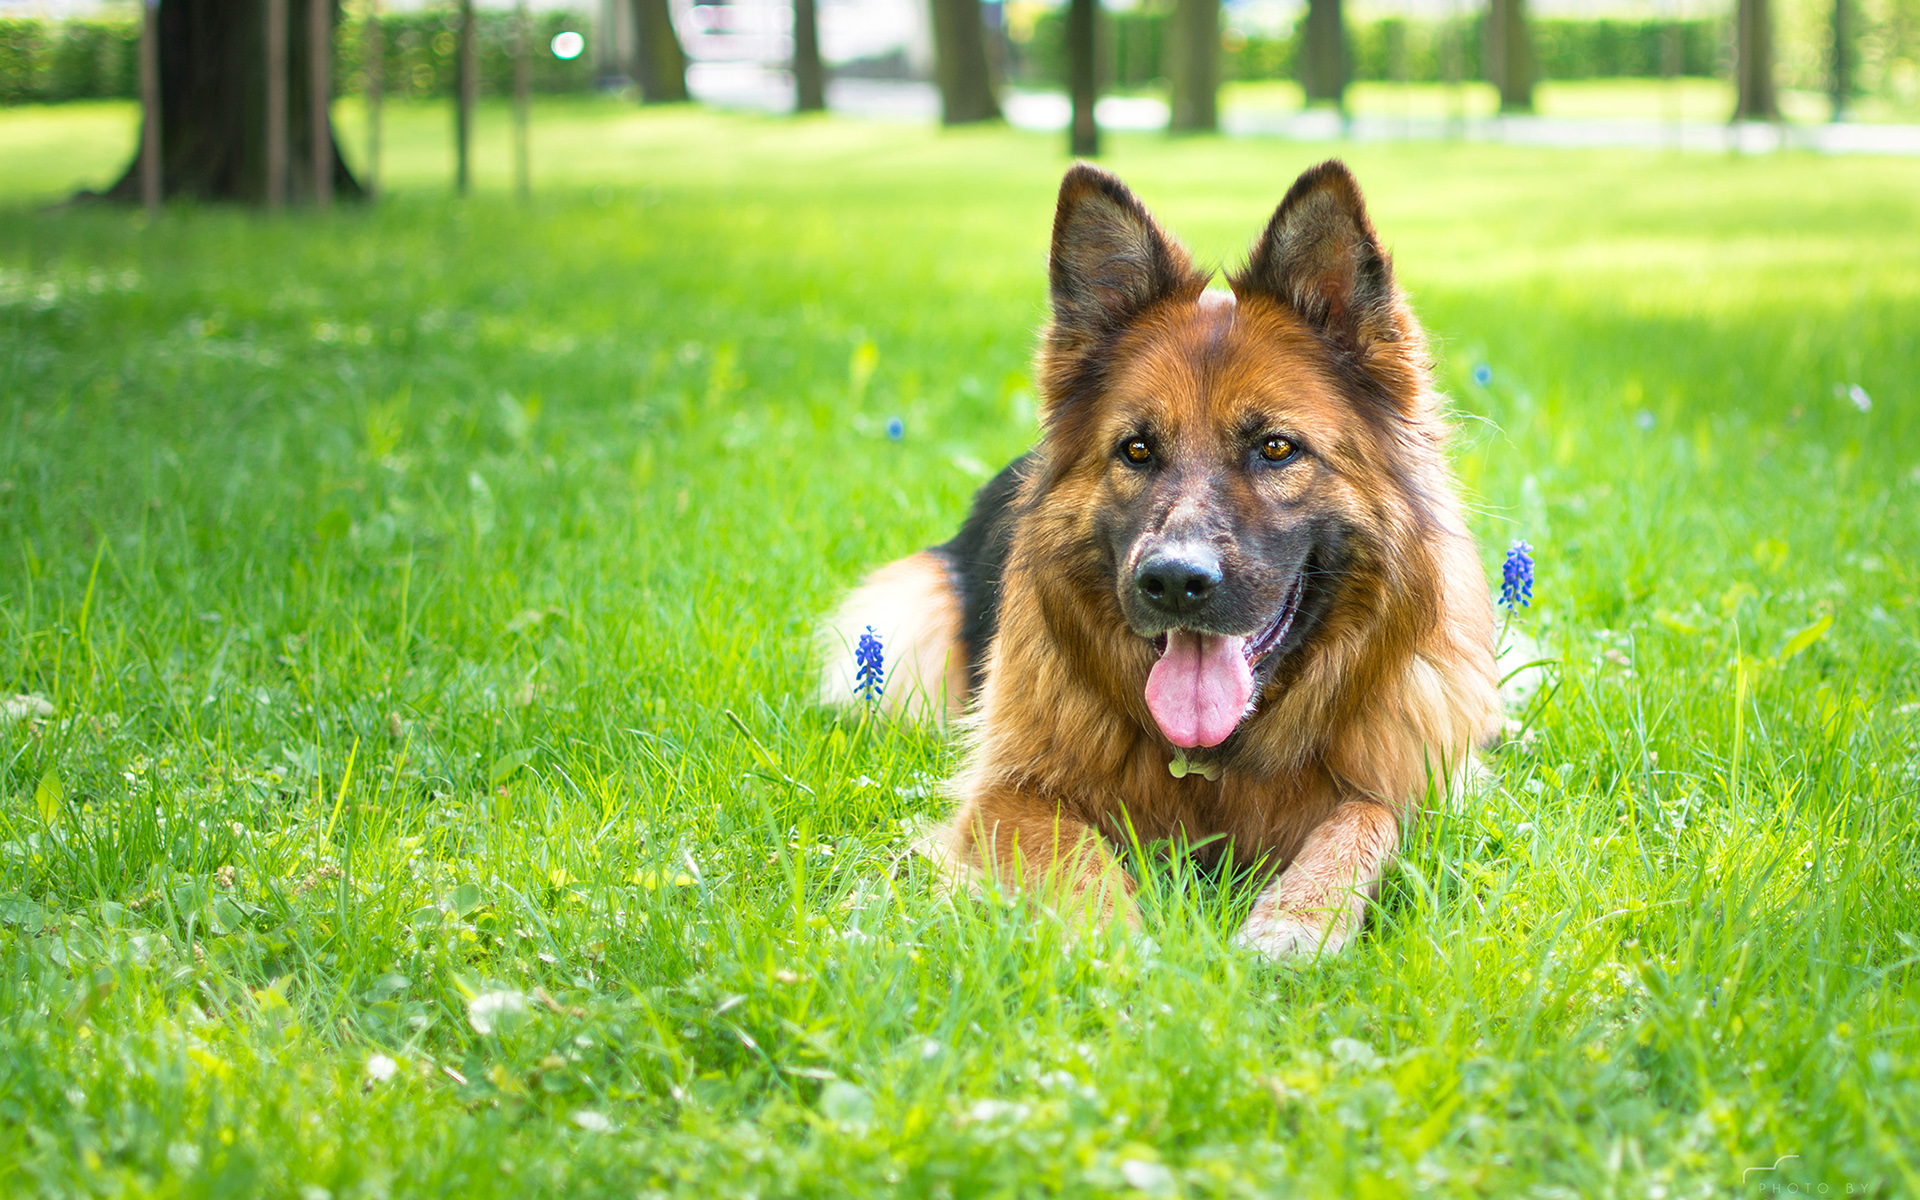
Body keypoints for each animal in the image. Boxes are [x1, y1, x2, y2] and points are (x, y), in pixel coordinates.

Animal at [821, 161, 1497, 956]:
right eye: (1137, 450)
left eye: (1276, 447)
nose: (1174, 581)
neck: (1214, 765)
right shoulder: (1008, 793)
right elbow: (1071, 854)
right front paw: (1114, 944)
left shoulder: (1415, 781)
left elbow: (1364, 821)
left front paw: (1298, 920)